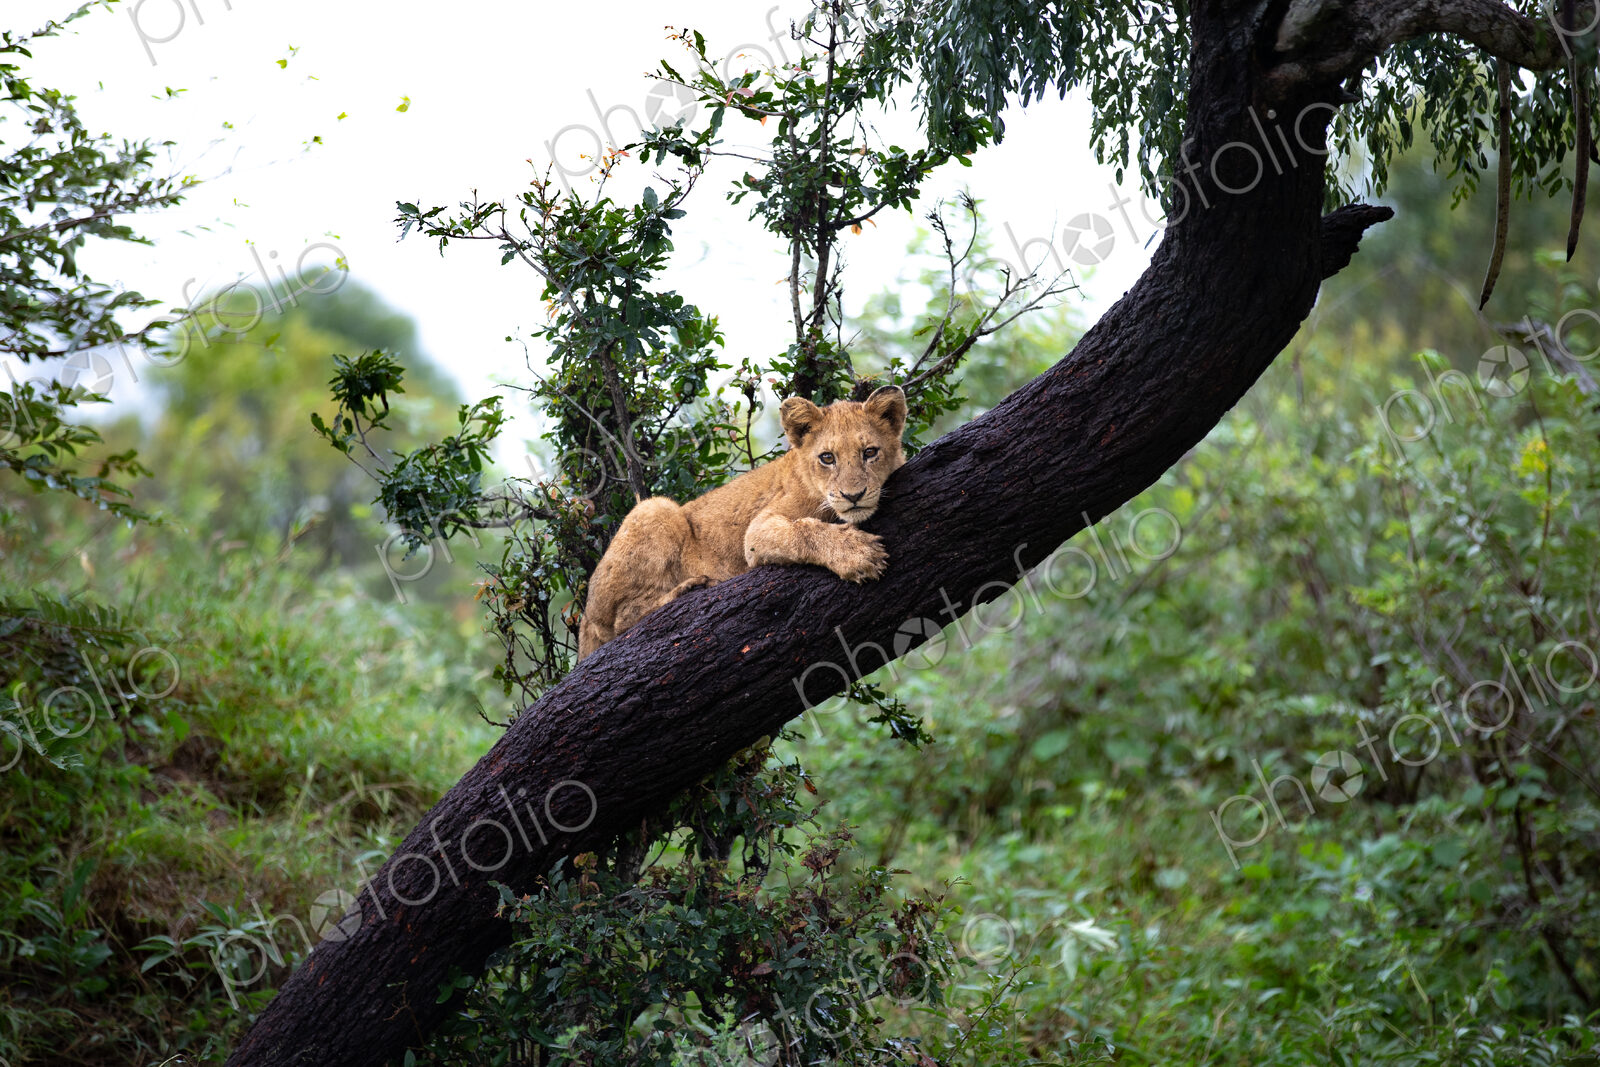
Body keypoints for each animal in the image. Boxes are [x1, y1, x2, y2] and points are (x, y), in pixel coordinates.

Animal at [576, 385, 907, 660]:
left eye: (869, 452)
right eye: (827, 458)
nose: (854, 495)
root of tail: (585, 621)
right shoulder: (757, 531)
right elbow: (804, 529)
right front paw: (858, 554)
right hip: (655, 508)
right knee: (623, 621)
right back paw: (691, 587)